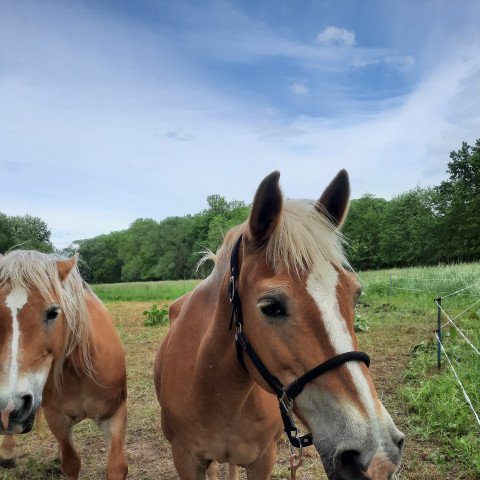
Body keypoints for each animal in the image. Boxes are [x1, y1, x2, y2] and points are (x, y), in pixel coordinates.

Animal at [0, 251, 127, 480]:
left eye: (53, 312)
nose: (11, 409)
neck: (80, 373)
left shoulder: (115, 414)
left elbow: (116, 466)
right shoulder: (57, 419)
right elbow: (71, 463)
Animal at [156, 171, 404, 478]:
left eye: (355, 294)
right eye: (270, 306)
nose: (379, 455)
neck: (217, 390)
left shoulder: (263, 458)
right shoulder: (186, 460)